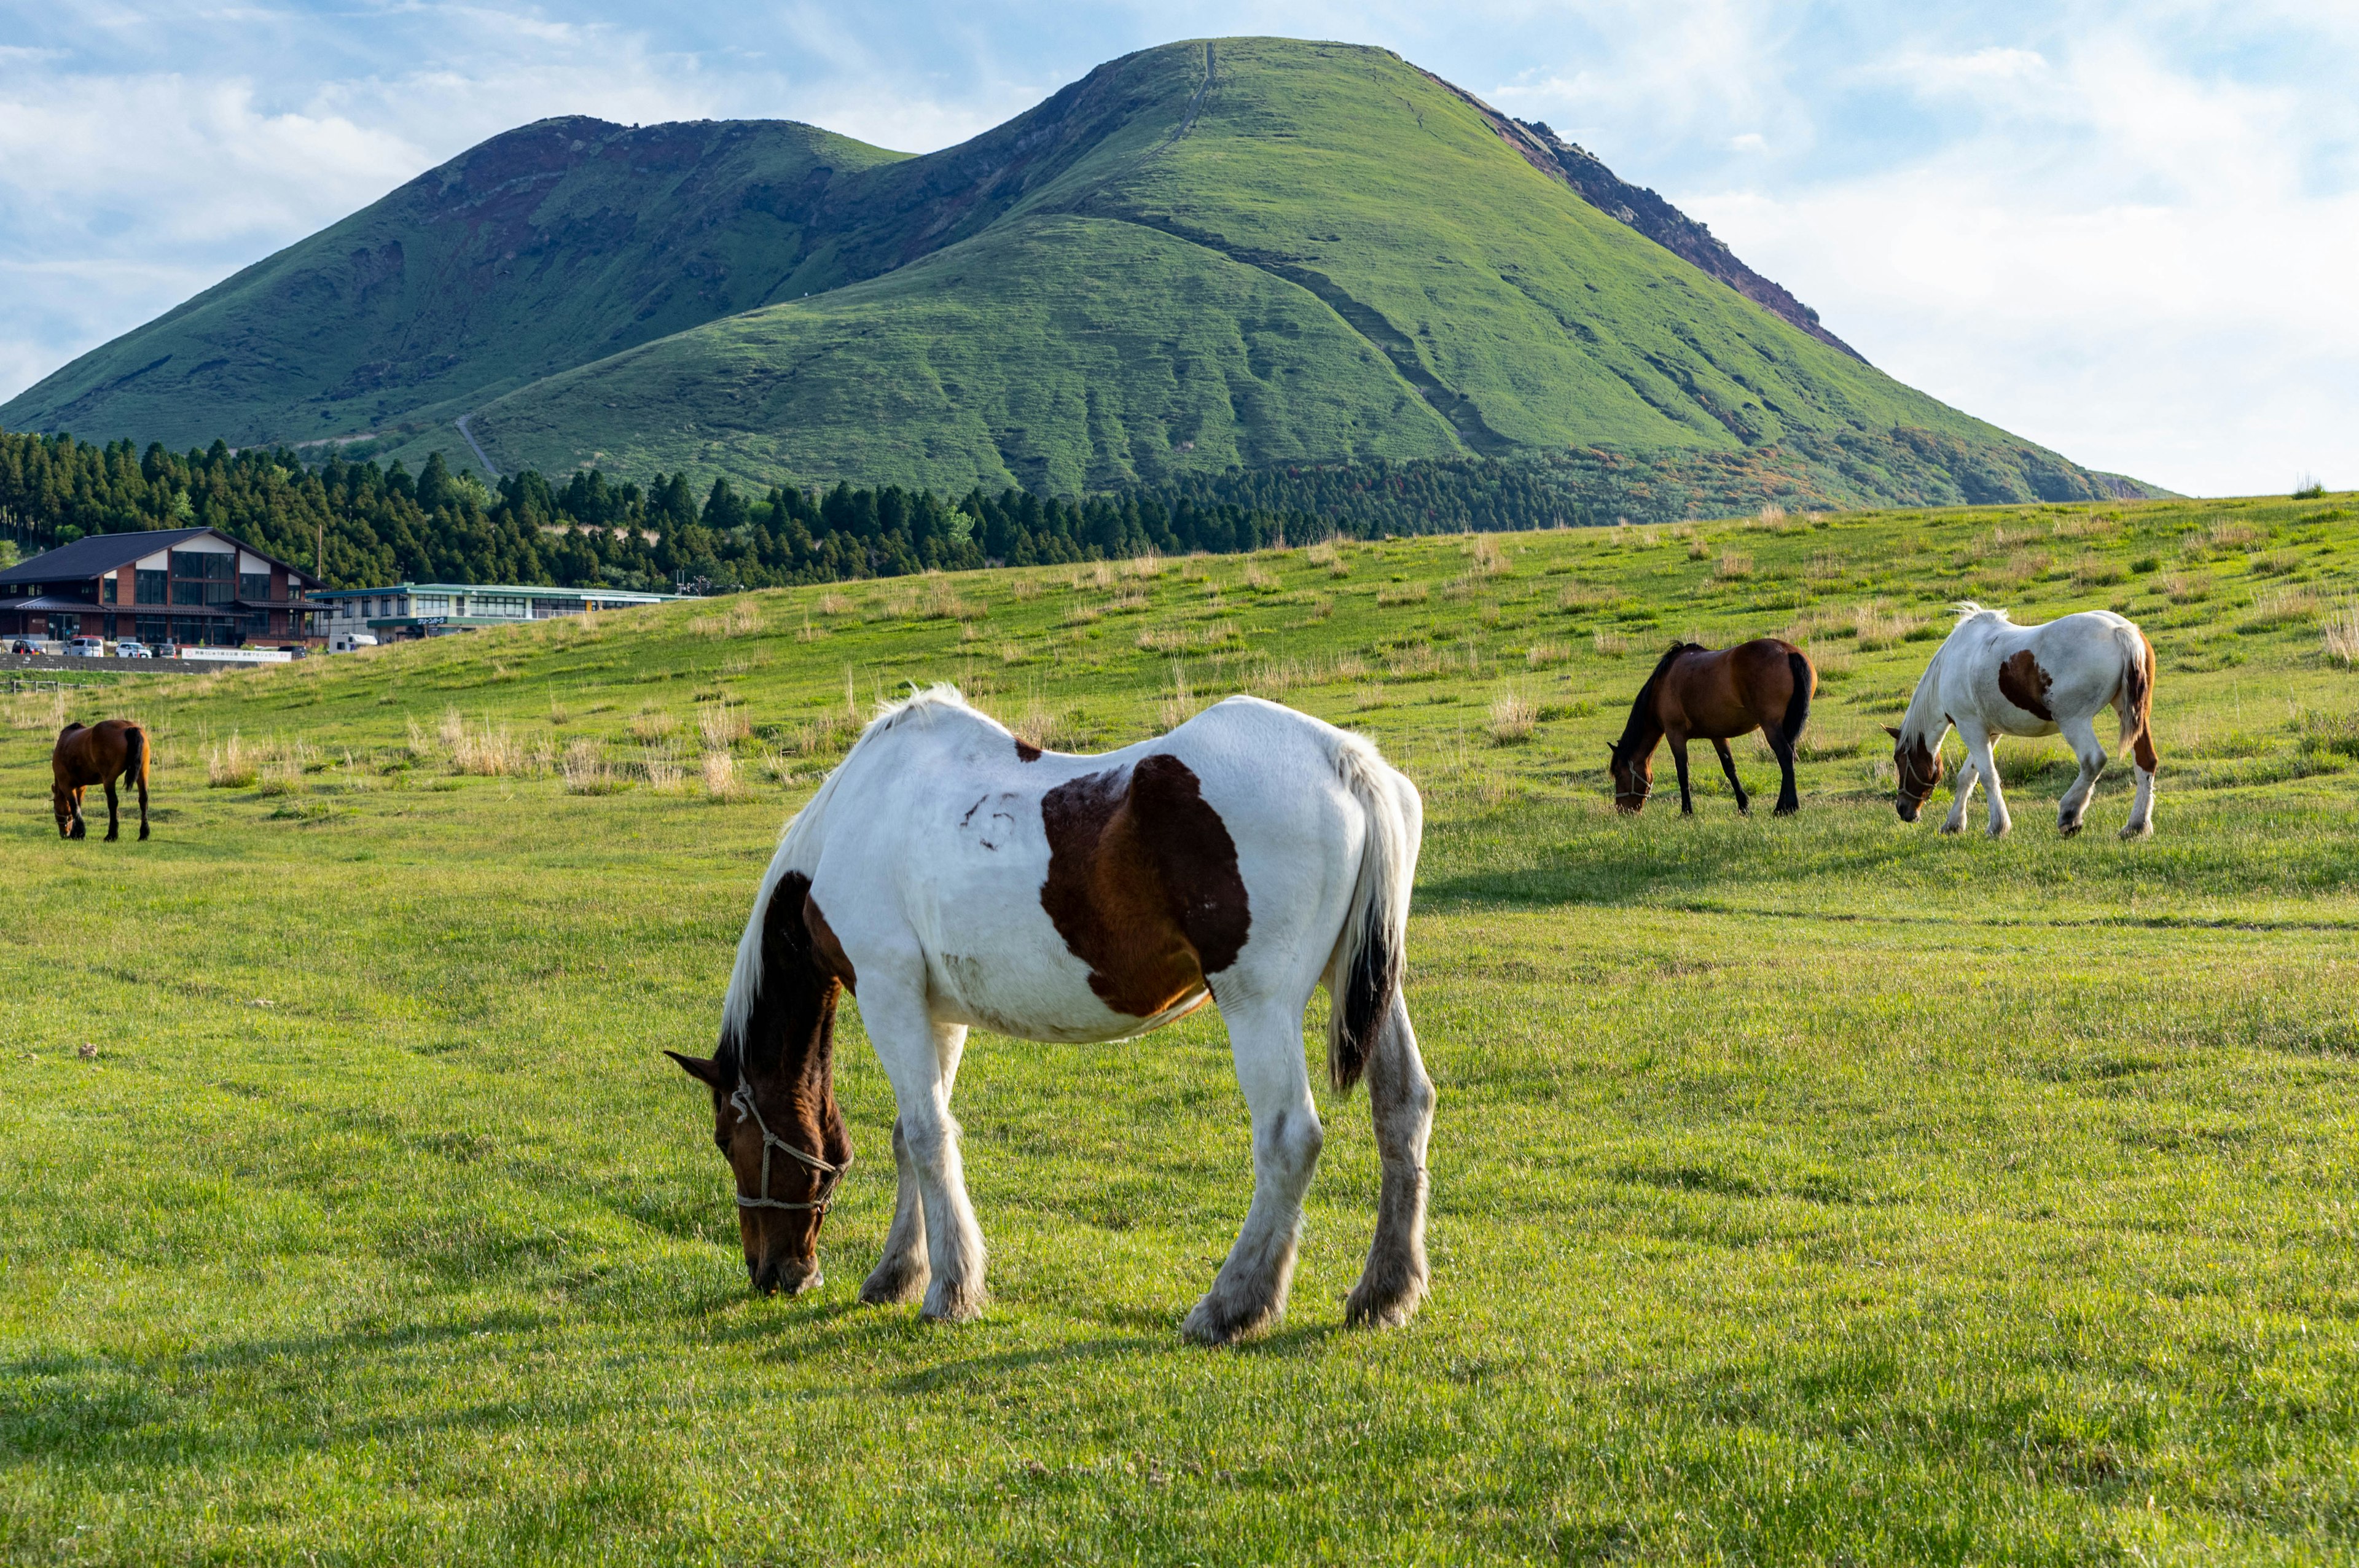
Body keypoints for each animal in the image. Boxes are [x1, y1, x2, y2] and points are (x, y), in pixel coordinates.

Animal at [52, 721, 148, 844]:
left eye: (55, 804)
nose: (64, 834)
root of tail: (130, 728)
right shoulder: (81, 788)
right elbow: (78, 806)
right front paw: (76, 832)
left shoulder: (67, 786)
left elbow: (75, 807)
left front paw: (79, 833)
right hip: (142, 773)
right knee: (143, 800)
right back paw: (144, 834)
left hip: (109, 780)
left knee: (113, 803)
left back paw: (111, 835)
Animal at [670, 684, 1434, 1348]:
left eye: (727, 1140)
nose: (776, 1275)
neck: (852, 822)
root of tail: (1344, 760)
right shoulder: (938, 1011)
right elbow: (911, 1138)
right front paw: (898, 1273)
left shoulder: (889, 993)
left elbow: (926, 1135)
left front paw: (949, 1290)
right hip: (1369, 985)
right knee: (1404, 1108)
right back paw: (1385, 1293)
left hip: (1257, 1003)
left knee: (1288, 1139)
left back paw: (1232, 1306)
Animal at [1613, 636, 1812, 811]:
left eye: (1619, 774)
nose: (1622, 810)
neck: (1663, 684)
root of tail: (1789, 652)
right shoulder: (1718, 736)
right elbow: (1730, 769)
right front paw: (1743, 806)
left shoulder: (1675, 734)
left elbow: (1682, 772)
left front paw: (1686, 811)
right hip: (1787, 726)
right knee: (1790, 758)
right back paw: (1783, 806)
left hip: (1771, 726)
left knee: (1785, 756)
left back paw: (1787, 807)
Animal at [1877, 603, 2161, 839]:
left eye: (1900, 760)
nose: (1903, 809)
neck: (1954, 658)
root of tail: (2121, 631)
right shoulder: (1991, 732)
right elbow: (1967, 777)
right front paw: (1953, 824)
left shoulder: (1971, 728)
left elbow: (1988, 776)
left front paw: (1997, 826)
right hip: (2132, 714)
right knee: (2145, 761)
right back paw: (2136, 826)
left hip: (2073, 721)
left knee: (2093, 761)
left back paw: (2070, 815)